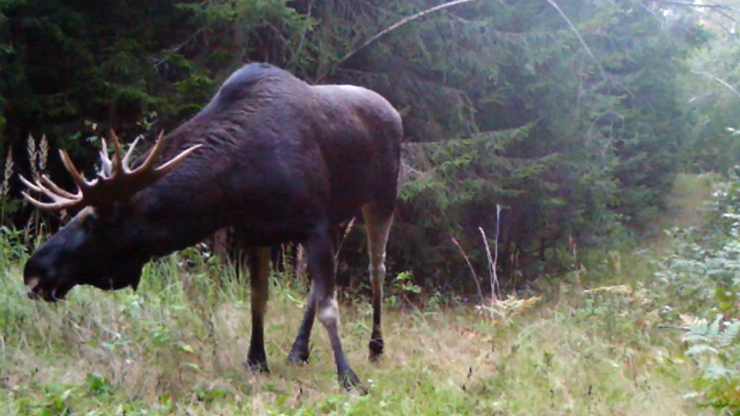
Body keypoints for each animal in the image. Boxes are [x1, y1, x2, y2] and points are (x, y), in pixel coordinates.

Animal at [17, 62, 403, 394]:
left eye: (96, 221)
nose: (34, 270)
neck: (234, 184)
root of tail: (395, 112)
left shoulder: (313, 223)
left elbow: (329, 307)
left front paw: (349, 377)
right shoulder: (256, 232)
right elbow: (259, 300)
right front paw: (256, 361)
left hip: (381, 197)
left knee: (377, 268)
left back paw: (375, 347)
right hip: (339, 214)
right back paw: (299, 350)